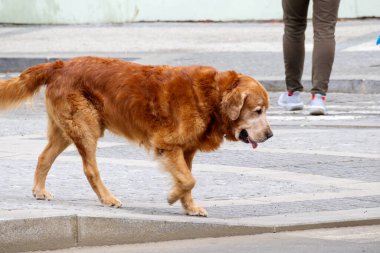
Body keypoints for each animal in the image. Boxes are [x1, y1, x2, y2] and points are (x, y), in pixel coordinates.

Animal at [0, 56, 274, 216]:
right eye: (258, 111)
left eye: (265, 110)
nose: (270, 135)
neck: (212, 96)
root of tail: (60, 65)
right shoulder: (168, 145)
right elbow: (188, 180)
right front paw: (172, 196)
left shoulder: (186, 150)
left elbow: (187, 179)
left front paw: (189, 206)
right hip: (86, 127)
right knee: (90, 169)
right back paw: (107, 198)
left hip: (65, 131)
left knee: (43, 157)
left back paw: (39, 190)